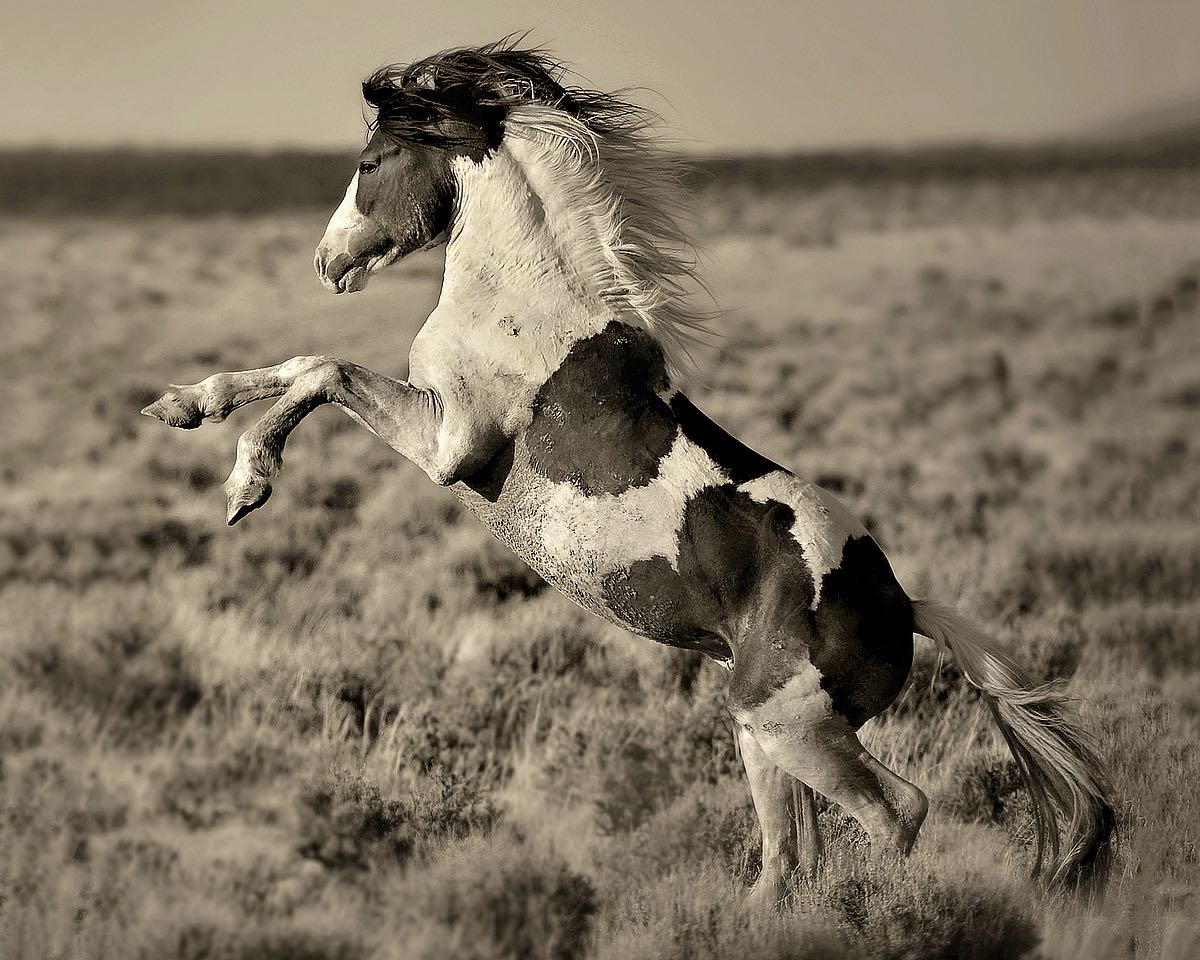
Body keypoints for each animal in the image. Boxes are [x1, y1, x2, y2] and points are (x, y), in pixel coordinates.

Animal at [142, 40, 1115, 903]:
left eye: (372, 160)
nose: (329, 262)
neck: (525, 300)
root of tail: (903, 606)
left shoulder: (449, 443)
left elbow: (322, 370)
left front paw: (246, 482)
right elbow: (299, 365)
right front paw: (183, 405)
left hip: (795, 728)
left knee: (898, 814)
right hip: (760, 734)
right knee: (786, 863)